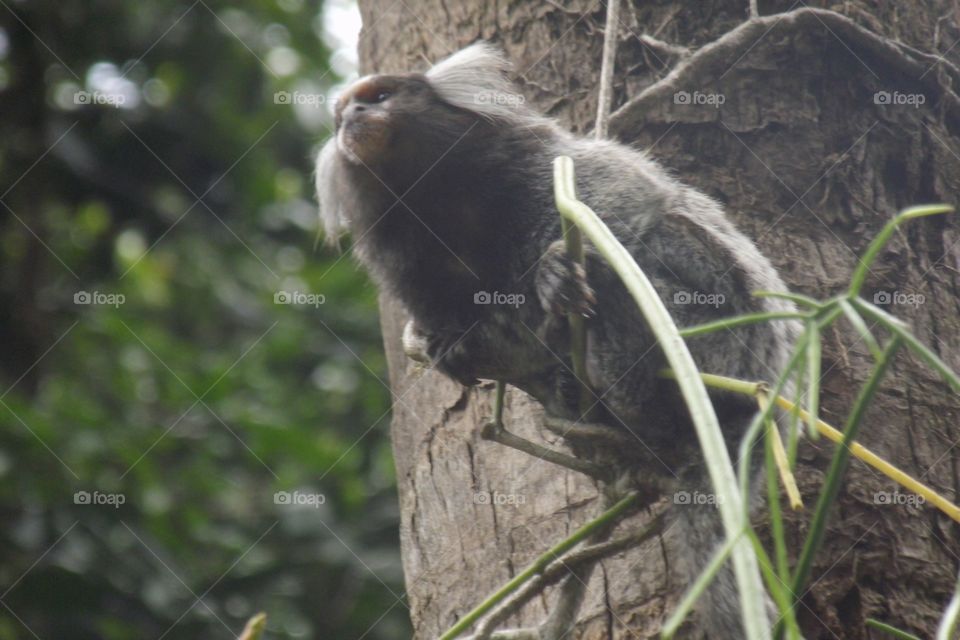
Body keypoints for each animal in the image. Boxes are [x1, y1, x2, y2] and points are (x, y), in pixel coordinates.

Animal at [316, 43, 801, 639]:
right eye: (343, 115)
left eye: (378, 96)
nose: (355, 117)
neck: (433, 193)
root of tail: (766, 397)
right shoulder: (402, 255)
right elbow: (473, 329)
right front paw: (452, 346)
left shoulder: (546, 165)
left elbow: (624, 207)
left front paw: (555, 279)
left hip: (727, 332)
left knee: (655, 241)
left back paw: (619, 365)